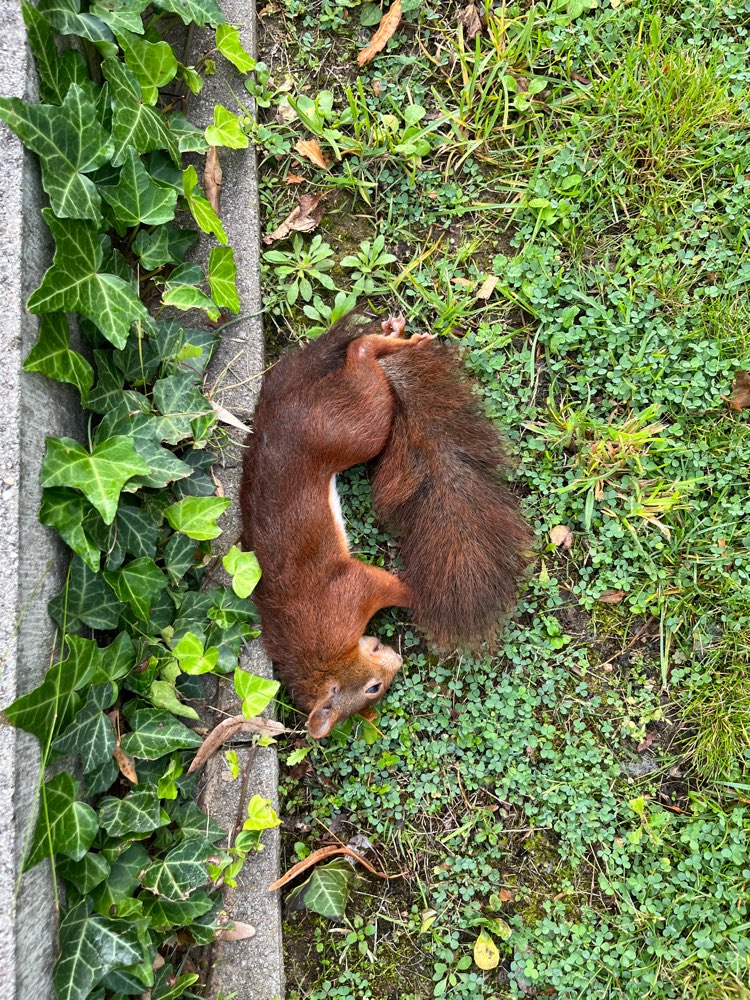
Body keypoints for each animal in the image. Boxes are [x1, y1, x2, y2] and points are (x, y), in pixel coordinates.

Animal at [240, 312, 531, 738]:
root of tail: (276, 411)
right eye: (374, 689)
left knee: (360, 357)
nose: (397, 662)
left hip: (352, 428)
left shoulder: (349, 593)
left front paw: (424, 591)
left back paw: (391, 340)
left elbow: (392, 587)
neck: (323, 653)